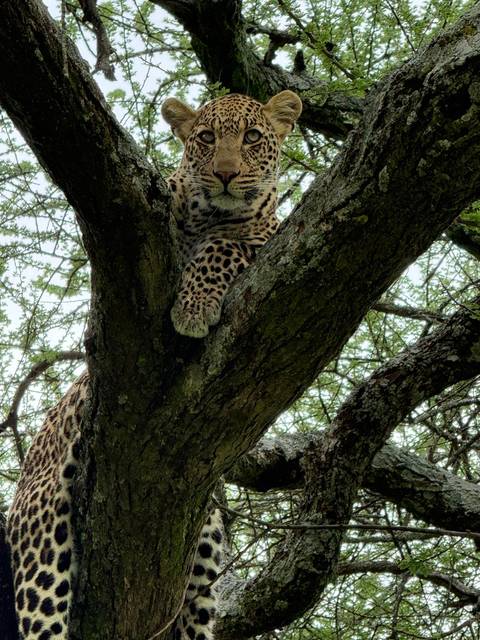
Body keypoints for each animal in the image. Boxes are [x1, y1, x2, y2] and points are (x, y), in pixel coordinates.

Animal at [6, 90, 301, 640]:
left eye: (252, 137)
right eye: (205, 138)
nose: (226, 174)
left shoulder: (268, 236)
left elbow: (224, 246)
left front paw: (193, 305)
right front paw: (192, 306)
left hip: (204, 550)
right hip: (44, 532)